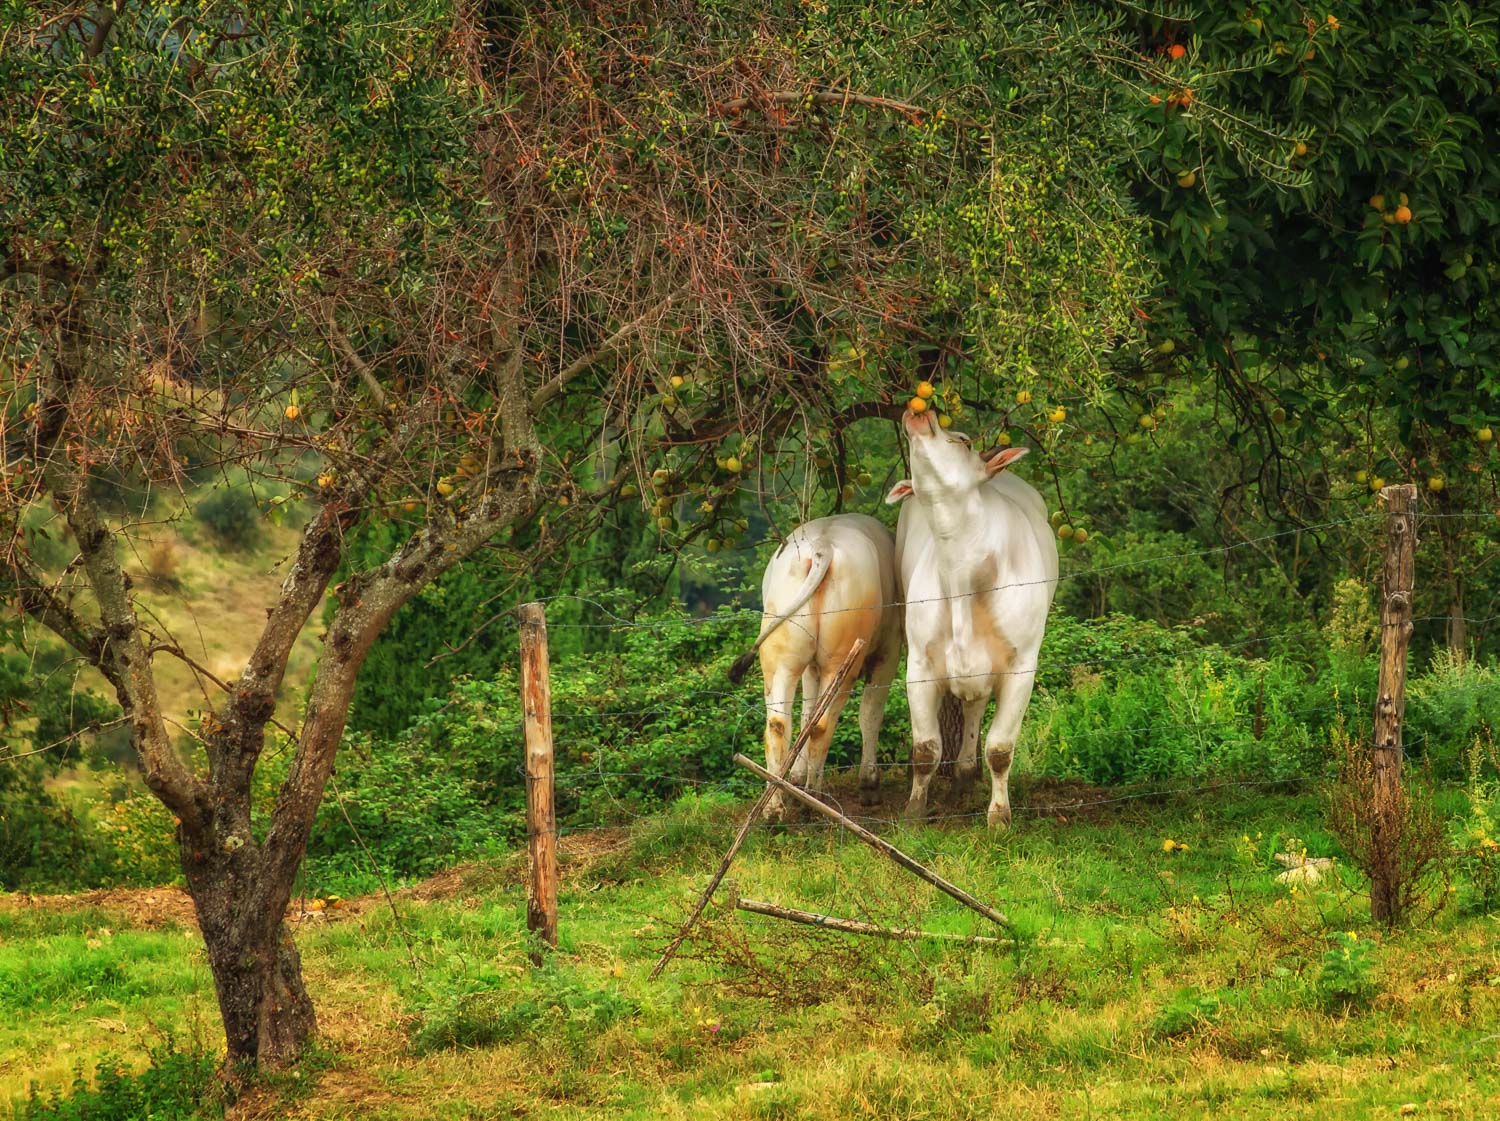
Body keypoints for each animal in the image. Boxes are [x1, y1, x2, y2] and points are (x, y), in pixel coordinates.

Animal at [729, 516, 900, 816]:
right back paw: (813, 797)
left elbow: (807, 711)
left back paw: (774, 807)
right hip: (843, 662)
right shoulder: (889, 651)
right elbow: (870, 714)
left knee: (778, 722)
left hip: (781, 654)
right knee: (822, 724)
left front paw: (796, 778)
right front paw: (869, 784)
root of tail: (824, 546)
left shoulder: (810, 667)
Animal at [882, 408, 1062, 828]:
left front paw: (999, 818)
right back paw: (962, 777)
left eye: (963, 441)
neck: (961, 571)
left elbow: (999, 749)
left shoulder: (1022, 667)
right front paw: (913, 812)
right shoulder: (919, 664)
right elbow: (925, 748)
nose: (921, 412)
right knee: (971, 709)